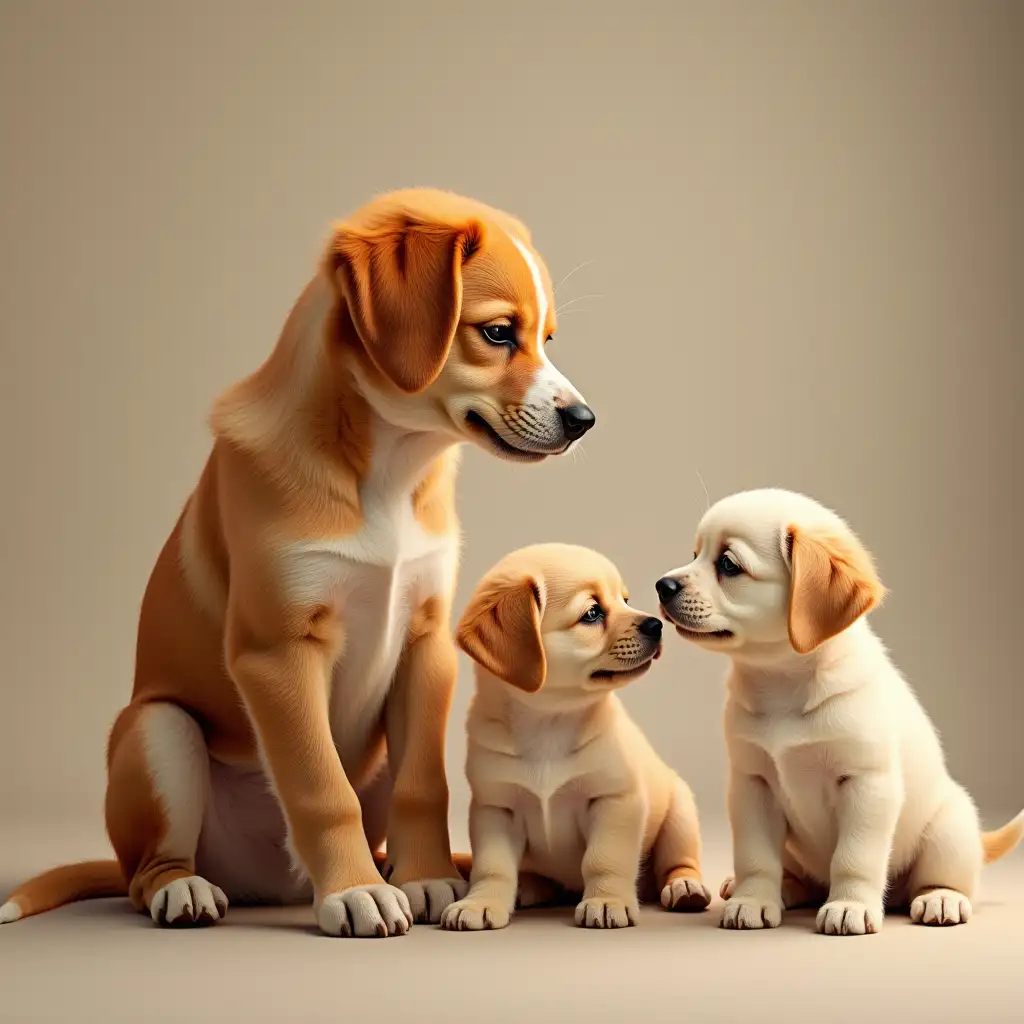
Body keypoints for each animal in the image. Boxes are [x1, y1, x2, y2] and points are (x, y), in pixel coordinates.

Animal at [0, 184, 598, 937]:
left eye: (547, 339)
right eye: (496, 333)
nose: (584, 420)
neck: (391, 468)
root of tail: (267, 883)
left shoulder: (426, 643)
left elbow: (424, 784)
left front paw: (427, 877)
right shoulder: (278, 653)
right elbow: (319, 787)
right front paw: (356, 892)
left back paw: (397, 870)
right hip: (157, 731)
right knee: (146, 872)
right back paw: (189, 890)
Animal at [440, 544, 712, 929]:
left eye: (624, 600)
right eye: (593, 613)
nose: (656, 624)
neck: (548, 721)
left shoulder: (614, 801)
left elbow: (604, 859)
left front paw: (607, 900)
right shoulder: (495, 809)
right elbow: (492, 868)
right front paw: (481, 903)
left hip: (680, 815)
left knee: (678, 863)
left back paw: (685, 888)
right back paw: (529, 887)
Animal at [655, 487, 1024, 937]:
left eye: (728, 564)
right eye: (695, 554)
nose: (662, 585)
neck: (783, 683)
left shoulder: (866, 784)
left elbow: (854, 857)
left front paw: (849, 906)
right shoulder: (752, 784)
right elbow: (756, 858)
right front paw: (752, 900)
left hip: (948, 828)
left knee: (944, 879)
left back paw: (941, 898)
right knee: (801, 877)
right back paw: (776, 888)